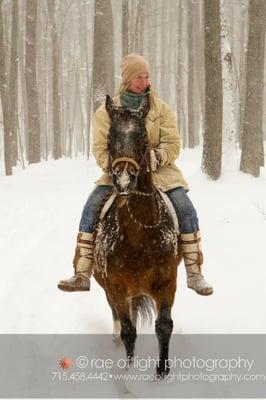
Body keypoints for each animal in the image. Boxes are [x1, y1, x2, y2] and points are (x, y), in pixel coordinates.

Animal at [93, 94, 183, 378]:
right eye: (110, 138)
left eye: (144, 138)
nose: (123, 181)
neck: (139, 236)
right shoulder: (117, 288)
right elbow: (128, 331)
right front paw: (129, 371)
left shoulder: (167, 283)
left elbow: (164, 325)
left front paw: (162, 372)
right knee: (118, 318)